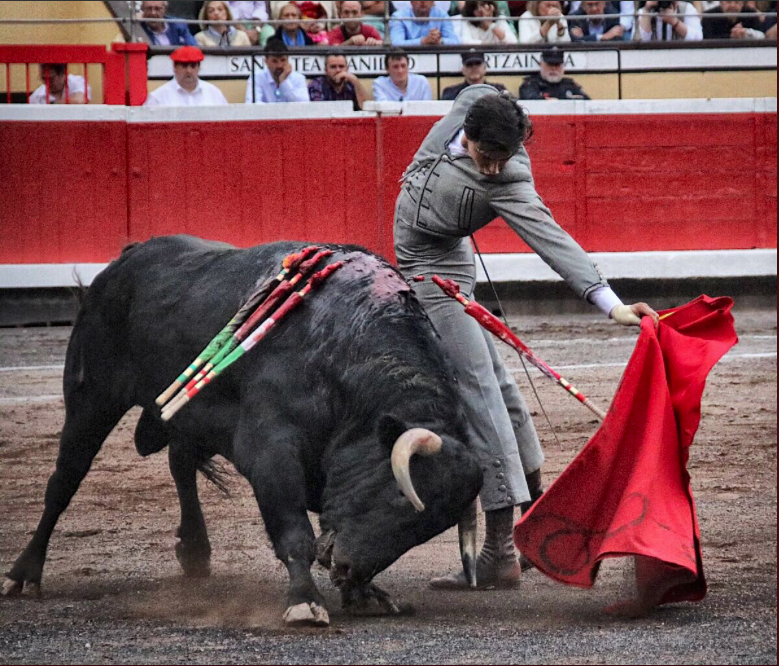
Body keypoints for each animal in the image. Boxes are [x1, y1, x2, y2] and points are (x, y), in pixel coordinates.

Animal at [3, 233, 484, 624]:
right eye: (400, 496)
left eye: (425, 530)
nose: (349, 570)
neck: (347, 353)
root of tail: (127, 256)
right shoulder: (271, 449)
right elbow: (294, 531)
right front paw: (305, 602)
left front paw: (367, 594)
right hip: (91, 397)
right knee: (65, 479)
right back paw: (25, 573)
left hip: (185, 418)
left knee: (180, 464)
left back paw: (195, 551)